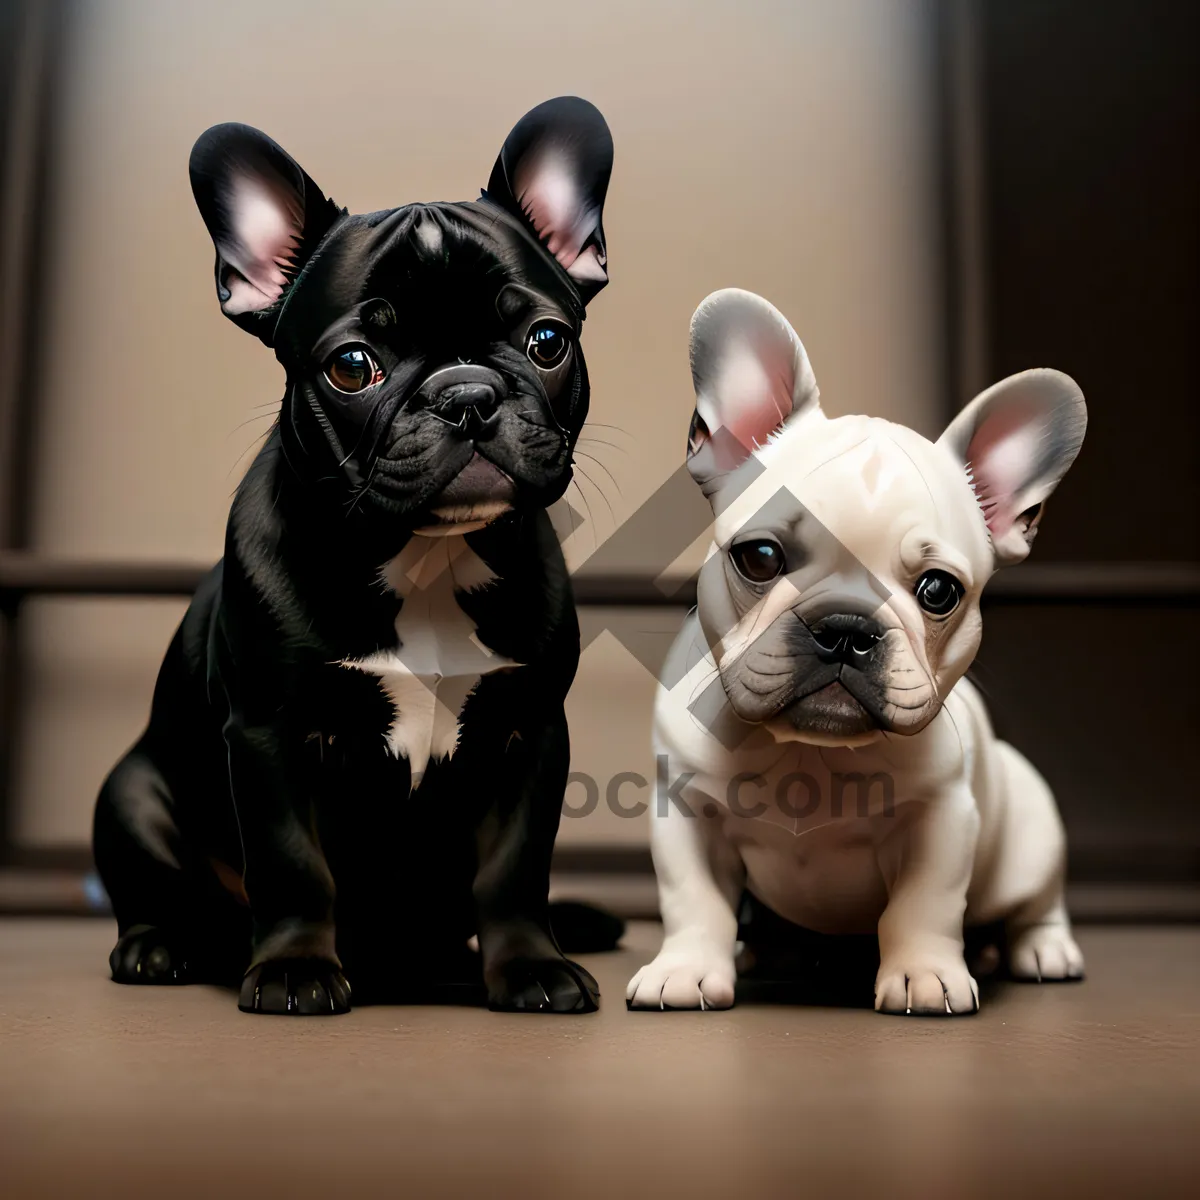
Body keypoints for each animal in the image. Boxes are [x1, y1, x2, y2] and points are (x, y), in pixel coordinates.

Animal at [93, 98, 619, 1012]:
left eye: (547, 341)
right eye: (352, 366)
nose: (468, 395)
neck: (426, 557)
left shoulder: (530, 732)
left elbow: (517, 867)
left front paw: (530, 965)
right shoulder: (268, 735)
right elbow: (292, 864)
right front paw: (295, 968)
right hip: (129, 797)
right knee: (158, 890)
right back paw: (159, 947)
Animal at [633, 288, 1094, 1012]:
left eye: (939, 590)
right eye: (759, 556)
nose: (846, 627)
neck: (813, 755)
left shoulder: (942, 821)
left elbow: (923, 906)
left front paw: (925, 975)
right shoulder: (685, 814)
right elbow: (694, 900)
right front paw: (685, 969)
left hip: (1030, 832)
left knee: (1034, 903)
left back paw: (1042, 951)